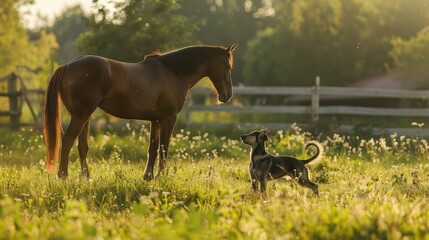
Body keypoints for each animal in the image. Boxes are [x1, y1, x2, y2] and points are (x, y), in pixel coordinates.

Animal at [43, 44, 236, 180]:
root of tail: (67, 66)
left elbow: (153, 148)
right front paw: (161, 176)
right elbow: (164, 148)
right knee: (67, 140)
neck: (173, 72)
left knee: (82, 146)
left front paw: (148, 176)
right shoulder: (168, 119)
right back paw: (63, 176)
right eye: (227, 66)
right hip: (80, 116)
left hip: (86, 117)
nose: (227, 95)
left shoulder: (156, 121)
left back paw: (86, 177)